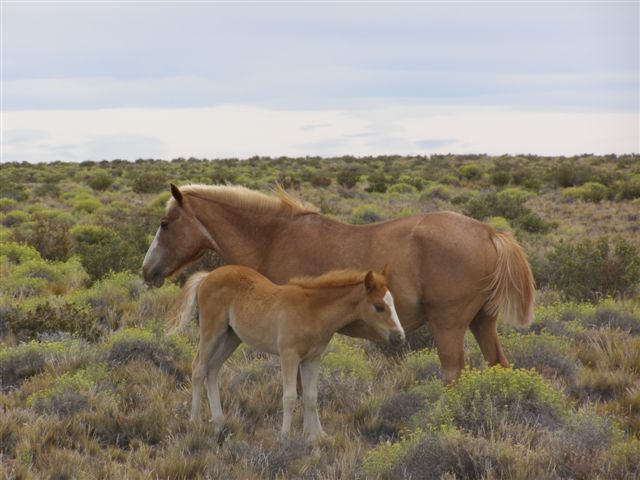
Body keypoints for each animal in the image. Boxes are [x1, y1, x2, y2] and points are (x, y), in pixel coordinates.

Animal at [143, 184, 535, 384]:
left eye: (165, 223)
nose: (148, 271)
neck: (273, 237)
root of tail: (489, 232)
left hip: (449, 325)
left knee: (453, 372)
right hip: (482, 321)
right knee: (498, 363)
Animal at [168, 264, 405, 441]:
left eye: (393, 303)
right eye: (379, 306)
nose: (399, 337)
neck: (312, 310)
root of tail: (208, 275)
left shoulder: (312, 358)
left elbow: (311, 396)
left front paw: (316, 436)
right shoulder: (289, 355)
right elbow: (290, 396)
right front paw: (285, 436)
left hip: (231, 337)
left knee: (213, 369)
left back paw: (218, 423)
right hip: (212, 331)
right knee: (199, 368)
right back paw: (194, 422)